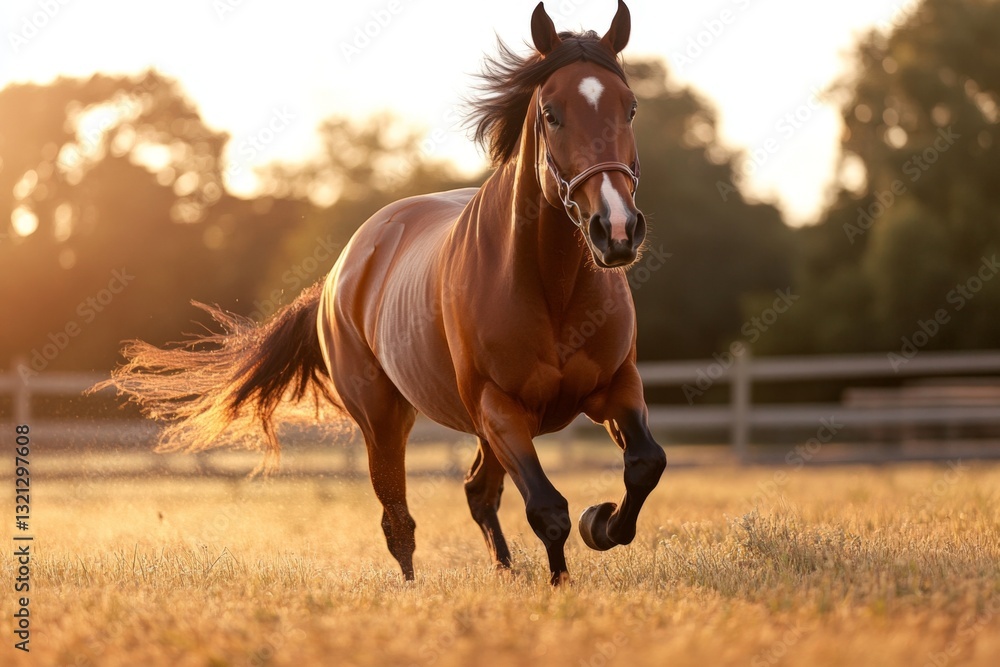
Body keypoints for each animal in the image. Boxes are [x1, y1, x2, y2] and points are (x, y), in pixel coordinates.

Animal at [103, 0, 666, 585]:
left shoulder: (616, 386)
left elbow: (645, 464)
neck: (550, 287)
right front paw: (568, 568)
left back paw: (505, 570)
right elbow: (547, 509)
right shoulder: (499, 407)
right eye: (552, 113)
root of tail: (338, 274)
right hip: (384, 420)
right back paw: (418, 586)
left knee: (477, 493)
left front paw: (601, 524)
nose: (617, 229)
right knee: (400, 519)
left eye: (629, 107)